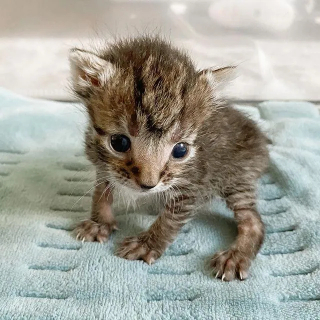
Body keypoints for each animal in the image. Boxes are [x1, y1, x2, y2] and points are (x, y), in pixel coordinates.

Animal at [69, 37, 268, 280]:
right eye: (119, 142)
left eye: (180, 150)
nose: (148, 185)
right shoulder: (102, 164)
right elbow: (101, 192)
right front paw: (99, 222)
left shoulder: (192, 185)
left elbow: (169, 221)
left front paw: (147, 244)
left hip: (238, 175)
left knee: (253, 220)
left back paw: (236, 255)